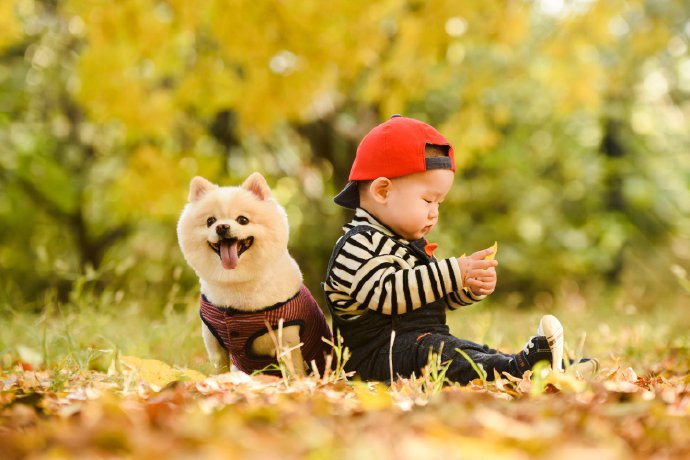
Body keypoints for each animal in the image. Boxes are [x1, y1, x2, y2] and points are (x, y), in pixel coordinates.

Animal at [179, 172, 332, 378]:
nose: (222, 227)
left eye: (243, 220)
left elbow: (294, 373)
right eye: (210, 221)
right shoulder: (214, 342)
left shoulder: (286, 341)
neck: (236, 281)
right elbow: (220, 371)